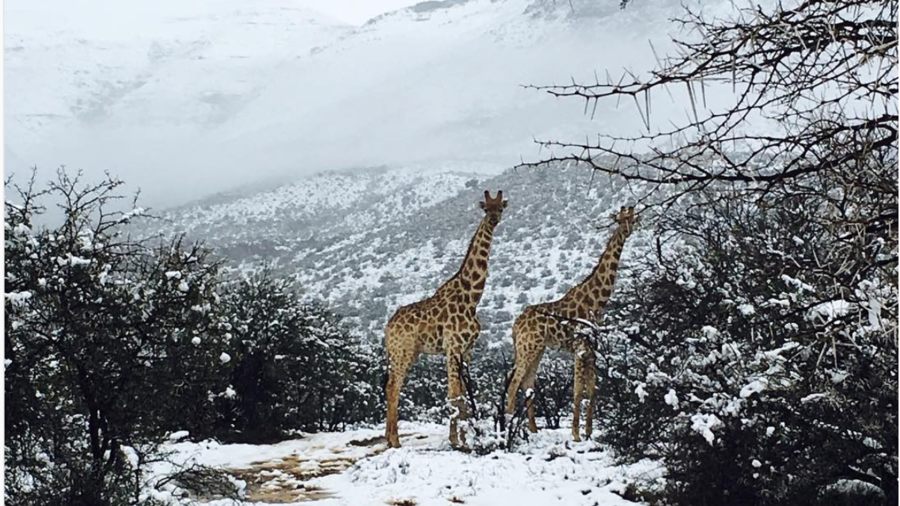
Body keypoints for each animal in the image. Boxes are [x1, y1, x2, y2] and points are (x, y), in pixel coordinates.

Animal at [380, 192, 506, 448]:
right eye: (486, 208)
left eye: (501, 208)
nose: (493, 220)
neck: (472, 298)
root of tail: (388, 327)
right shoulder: (453, 347)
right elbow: (453, 395)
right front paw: (456, 441)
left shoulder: (467, 350)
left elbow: (463, 396)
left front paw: (466, 440)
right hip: (402, 352)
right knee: (393, 387)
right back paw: (395, 441)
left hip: (408, 353)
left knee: (390, 387)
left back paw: (388, 437)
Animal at [502, 204, 636, 440]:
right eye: (619, 219)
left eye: (633, 217)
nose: (627, 231)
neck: (596, 302)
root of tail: (515, 326)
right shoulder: (580, 348)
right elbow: (577, 391)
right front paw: (575, 434)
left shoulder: (592, 350)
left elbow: (592, 390)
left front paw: (589, 432)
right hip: (528, 347)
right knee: (514, 382)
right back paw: (510, 428)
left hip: (537, 349)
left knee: (527, 383)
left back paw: (533, 430)